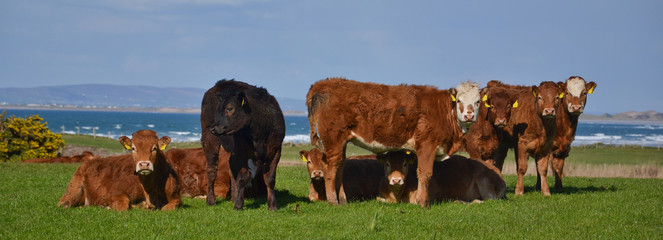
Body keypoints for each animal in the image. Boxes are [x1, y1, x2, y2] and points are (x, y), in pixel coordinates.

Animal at [201, 79, 286, 211]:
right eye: (219, 109)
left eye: (230, 108)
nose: (213, 128)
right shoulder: (242, 152)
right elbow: (243, 177)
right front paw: (239, 205)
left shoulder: (275, 150)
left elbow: (270, 179)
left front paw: (272, 205)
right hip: (208, 137)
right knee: (211, 169)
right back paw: (211, 200)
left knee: (231, 168)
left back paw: (233, 197)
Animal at [306, 78, 482, 207]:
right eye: (459, 100)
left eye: (478, 101)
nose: (469, 115)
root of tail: (323, 83)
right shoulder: (427, 144)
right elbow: (425, 173)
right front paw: (423, 204)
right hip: (333, 139)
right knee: (330, 169)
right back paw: (333, 202)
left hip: (341, 141)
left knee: (340, 167)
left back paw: (342, 200)